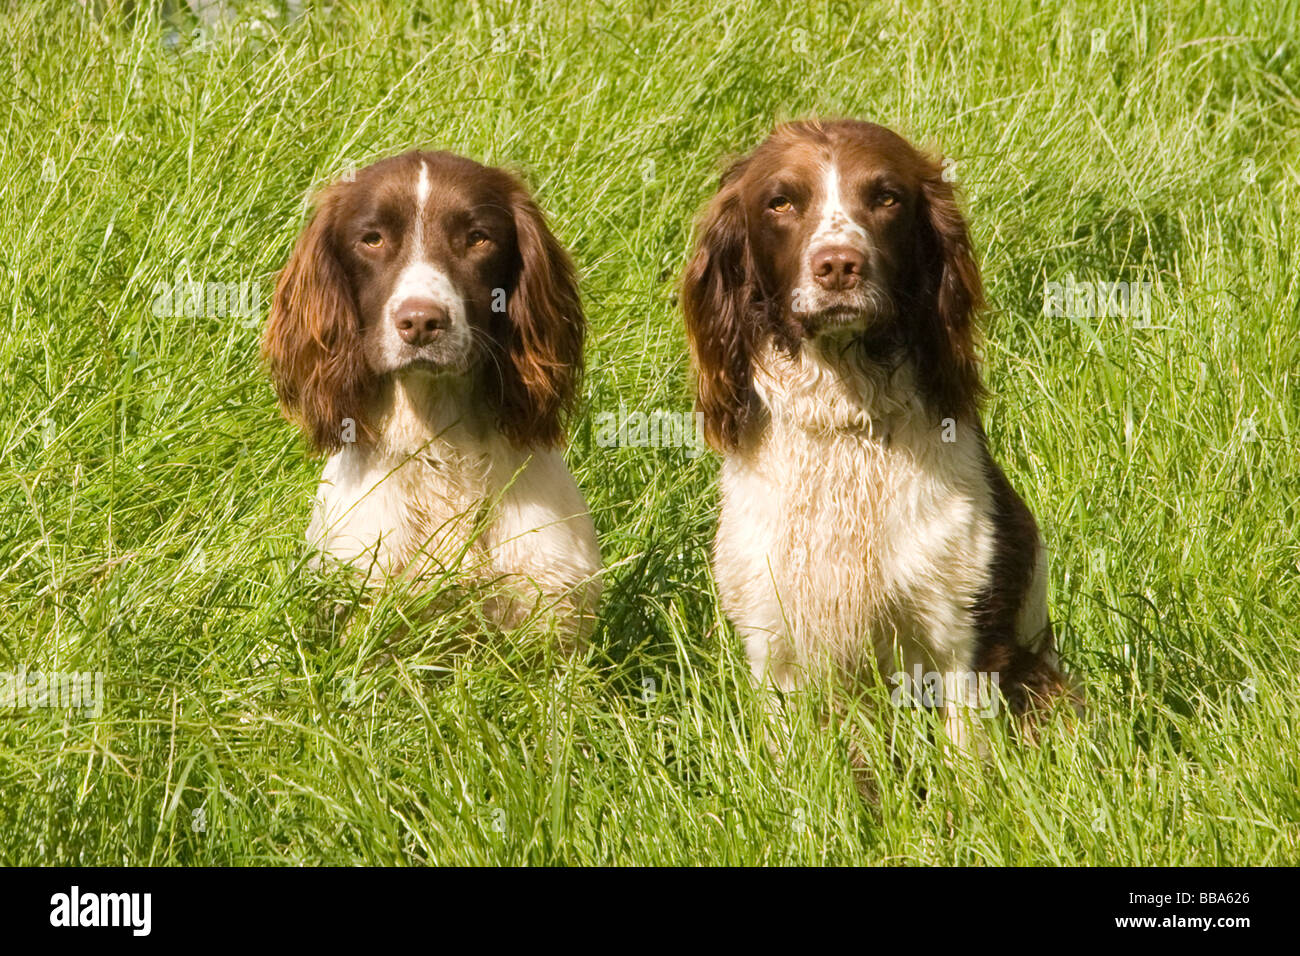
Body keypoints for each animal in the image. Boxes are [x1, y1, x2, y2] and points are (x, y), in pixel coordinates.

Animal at [681, 117, 1066, 733]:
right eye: (780, 202)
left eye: (887, 198)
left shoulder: (961, 640)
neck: (845, 419)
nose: (839, 264)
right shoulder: (773, 645)